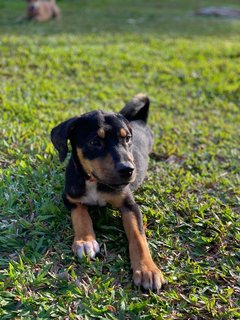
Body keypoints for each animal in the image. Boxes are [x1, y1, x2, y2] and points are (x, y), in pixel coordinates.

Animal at [51, 94, 165, 292]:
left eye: (127, 139)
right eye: (95, 142)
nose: (128, 170)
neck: (94, 181)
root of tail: (140, 120)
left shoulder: (129, 205)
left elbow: (138, 236)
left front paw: (147, 270)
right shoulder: (70, 197)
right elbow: (80, 215)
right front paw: (85, 241)